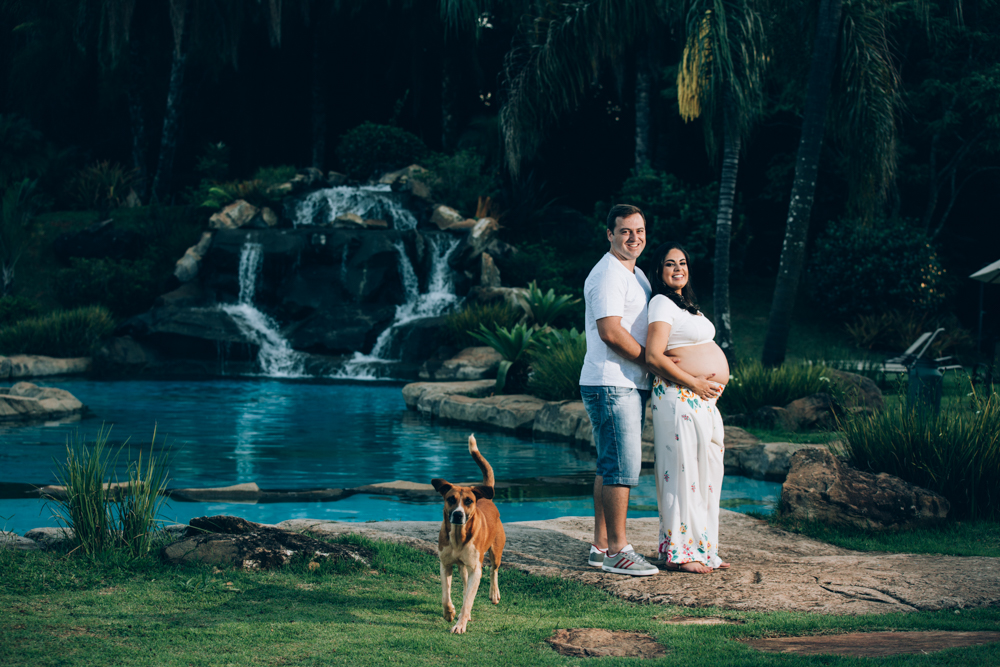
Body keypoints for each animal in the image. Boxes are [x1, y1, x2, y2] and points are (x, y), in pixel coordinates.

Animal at [431, 434, 506, 634]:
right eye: (450, 499)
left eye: (469, 501)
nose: (458, 514)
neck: (459, 537)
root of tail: (486, 498)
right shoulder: (445, 564)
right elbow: (445, 595)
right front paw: (449, 612)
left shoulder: (475, 569)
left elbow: (469, 601)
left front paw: (460, 624)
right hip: (462, 566)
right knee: (465, 584)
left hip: (496, 550)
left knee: (494, 570)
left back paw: (494, 593)